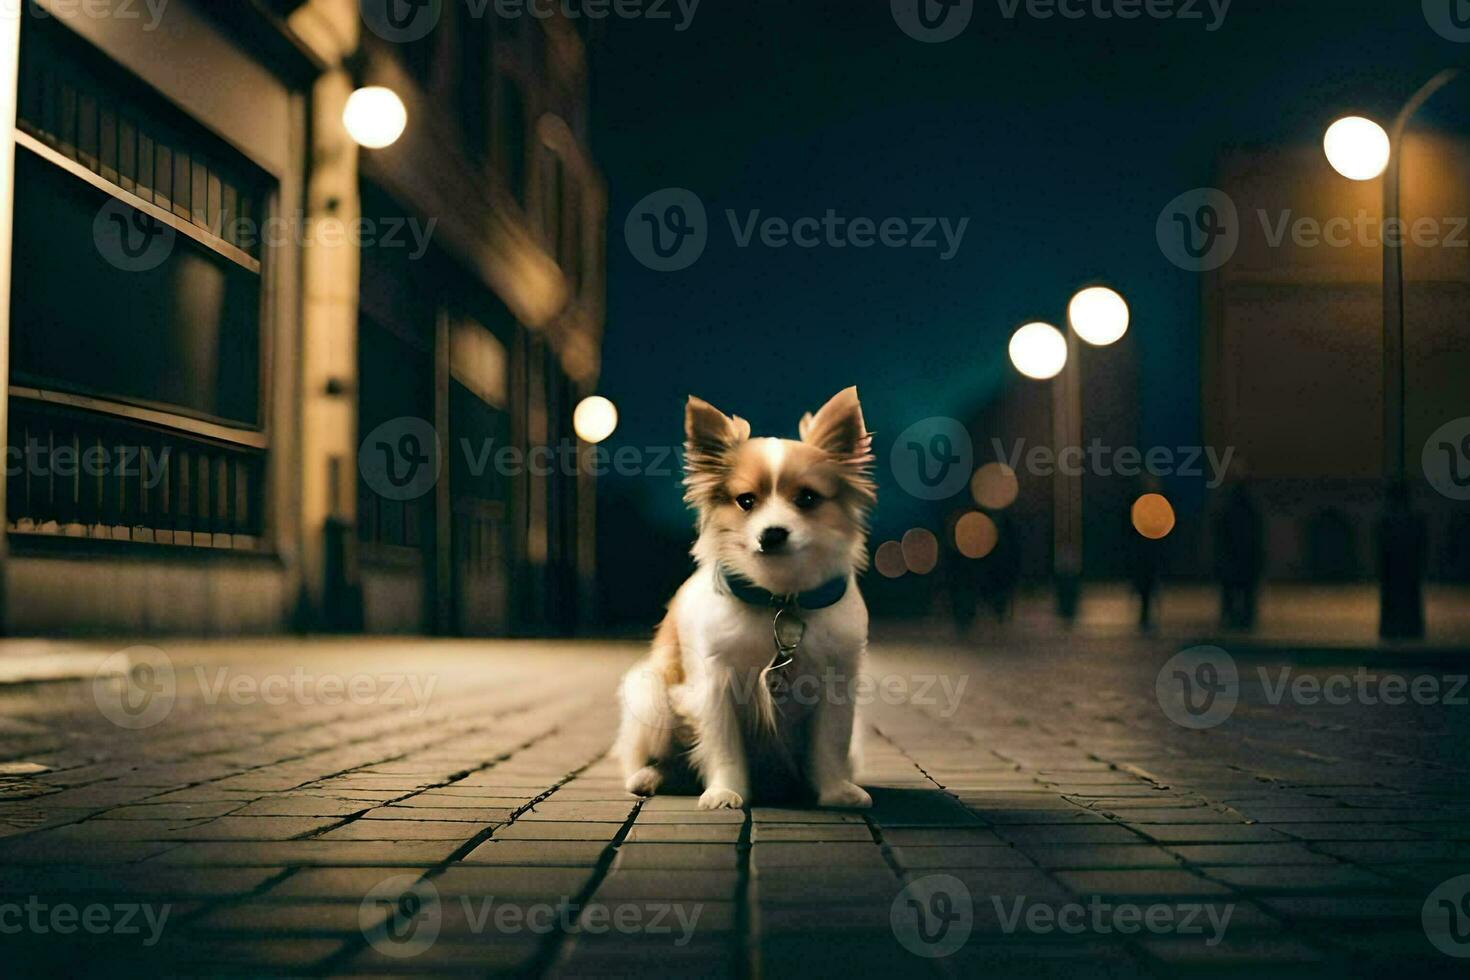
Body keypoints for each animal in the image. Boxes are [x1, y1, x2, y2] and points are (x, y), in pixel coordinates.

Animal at [617, 387, 876, 811]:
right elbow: (725, 748)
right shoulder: (715, 686)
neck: (780, 599)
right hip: (650, 691)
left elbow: (829, 745)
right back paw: (649, 776)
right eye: (746, 501)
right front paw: (725, 792)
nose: (772, 533)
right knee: (665, 757)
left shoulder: (837, 684)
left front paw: (835, 791)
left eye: (807, 499)